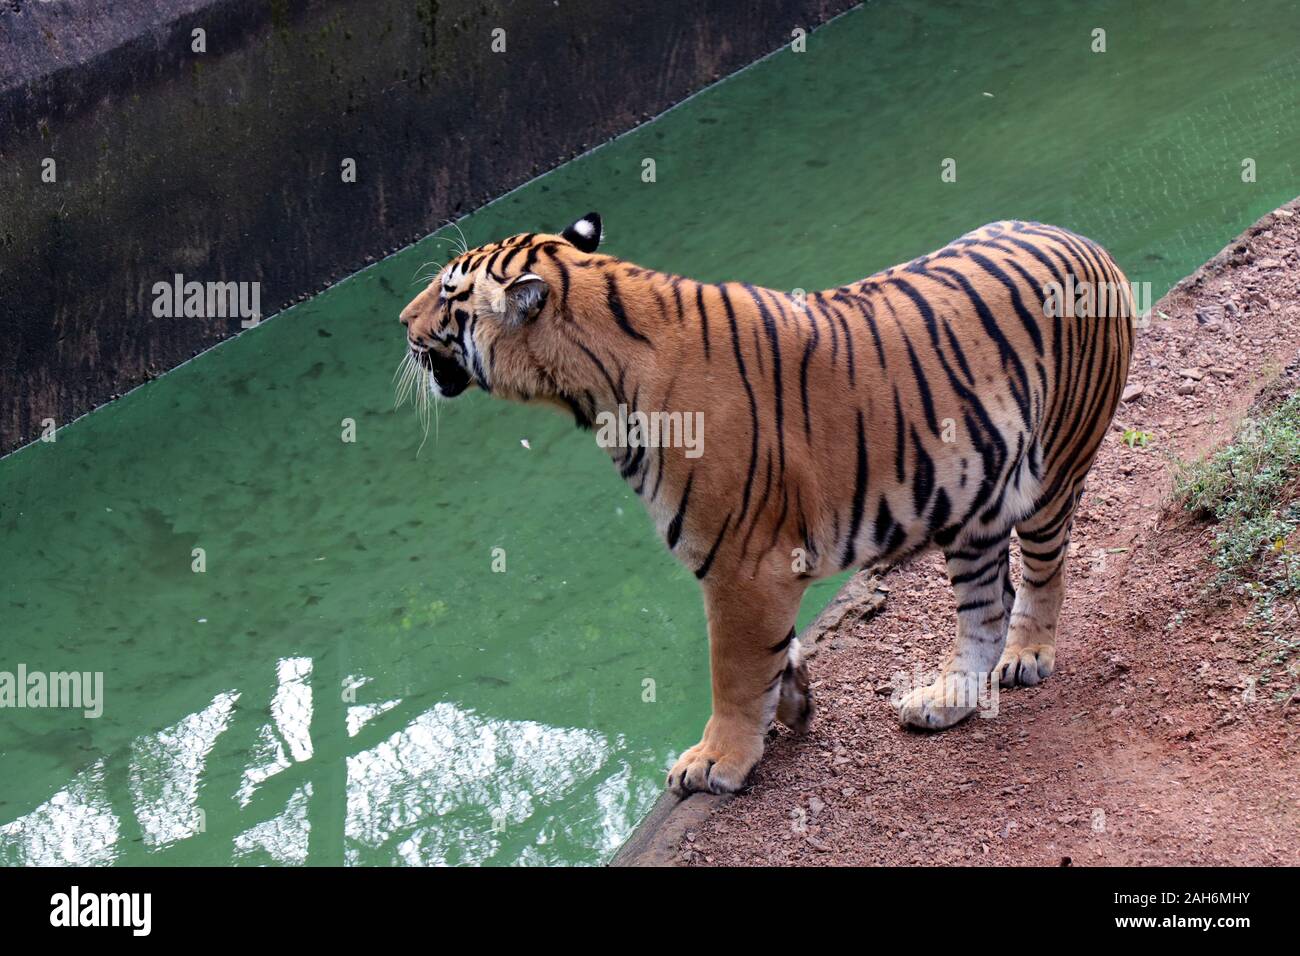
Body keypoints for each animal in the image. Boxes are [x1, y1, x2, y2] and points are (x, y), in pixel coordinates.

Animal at [397, 213, 1138, 796]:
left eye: (448, 292)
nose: (402, 321)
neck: (594, 384)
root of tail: (1083, 239)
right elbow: (769, 657)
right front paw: (796, 697)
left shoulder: (740, 566)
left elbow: (730, 671)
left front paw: (715, 761)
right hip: (973, 502)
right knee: (986, 605)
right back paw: (943, 700)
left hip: (1051, 471)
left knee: (1041, 576)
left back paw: (1028, 656)